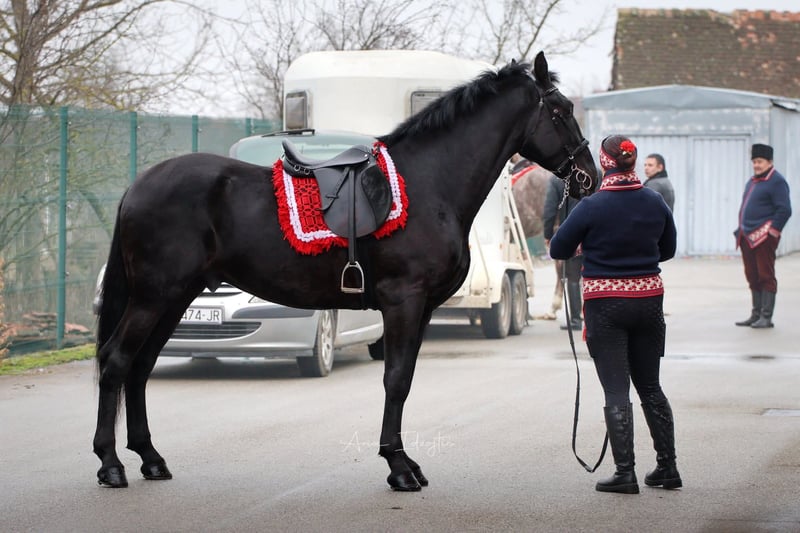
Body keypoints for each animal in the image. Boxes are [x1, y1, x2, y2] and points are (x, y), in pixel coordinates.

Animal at [93, 51, 598, 491]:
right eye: (560, 110)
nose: (588, 176)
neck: (428, 184)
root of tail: (139, 185)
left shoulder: (421, 309)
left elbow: (404, 379)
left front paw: (405, 462)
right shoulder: (403, 301)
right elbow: (396, 379)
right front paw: (399, 468)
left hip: (174, 298)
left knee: (140, 366)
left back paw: (150, 459)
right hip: (154, 296)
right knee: (117, 360)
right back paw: (111, 464)